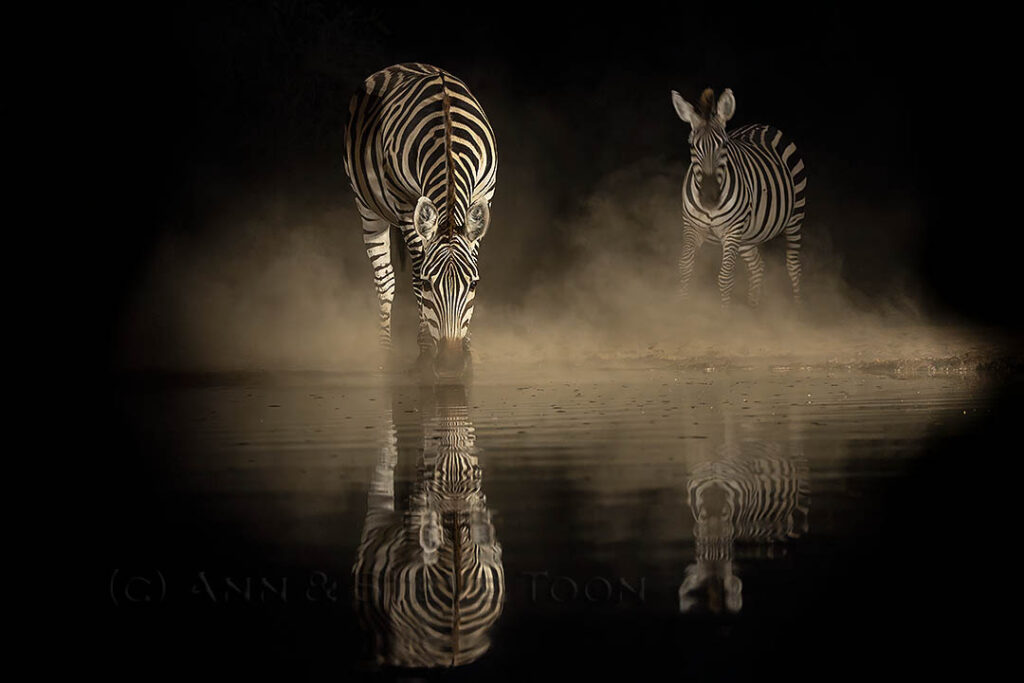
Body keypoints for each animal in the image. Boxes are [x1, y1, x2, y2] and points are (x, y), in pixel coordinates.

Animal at [344, 63, 497, 378]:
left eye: (473, 285)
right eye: (428, 285)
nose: (451, 366)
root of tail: (401, 65)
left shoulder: (485, 195)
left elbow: (473, 256)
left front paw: (468, 349)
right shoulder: (405, 203)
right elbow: (414, 272)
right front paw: (425, 351)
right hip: (366, 205)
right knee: (385, 279)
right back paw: (385, 354)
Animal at [671, 88, 806, 307]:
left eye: (724, 145)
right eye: (692, 146)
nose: (709, 198)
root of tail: (762, 125)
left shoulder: (732, 230)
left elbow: (725, 278)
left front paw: (726, 314)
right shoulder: (692, 226)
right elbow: (685, 266)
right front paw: (680, 305)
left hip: (795, 217)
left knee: (793, 266)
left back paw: (797, 307)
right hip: (748, 234)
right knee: (758, 266)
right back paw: (753, 307)